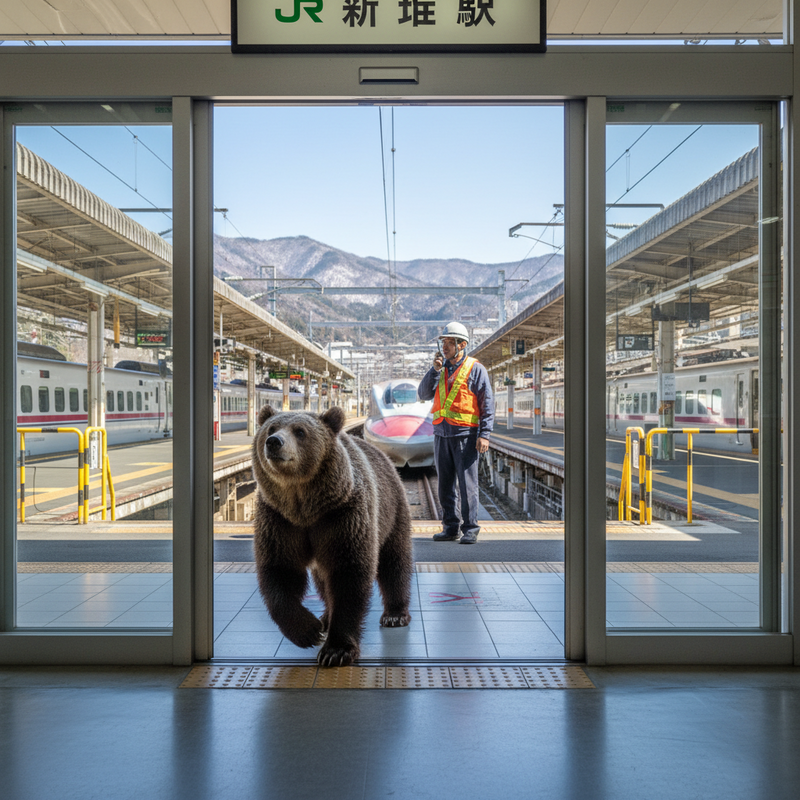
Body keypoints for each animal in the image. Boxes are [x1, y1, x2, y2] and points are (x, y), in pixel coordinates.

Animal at [251, 404, 414, 667]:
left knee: (394, 561)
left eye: (300, 431)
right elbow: (280, 571)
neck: (305, 507)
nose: (274, 442)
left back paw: (395, 614)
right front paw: (309, 630)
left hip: (391, 509)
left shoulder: (343, 515)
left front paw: (336, 650)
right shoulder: (279, 520)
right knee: (322, 578)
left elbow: (349, 573)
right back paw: (326, 616)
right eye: (271, 427)